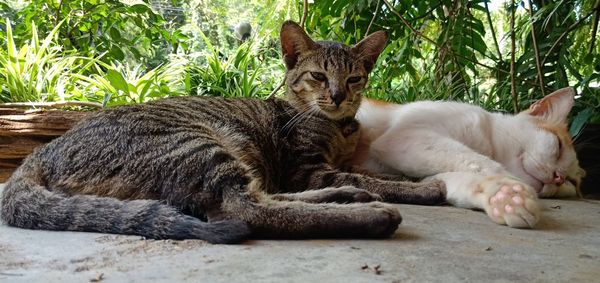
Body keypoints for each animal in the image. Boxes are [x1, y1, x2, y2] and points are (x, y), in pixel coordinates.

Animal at [0, 21, 446, 244]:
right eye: (319, 77)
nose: (337, 96)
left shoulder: (322, 165)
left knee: (262, 195)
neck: (338, 126)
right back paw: (367, 214)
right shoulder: (307, 168)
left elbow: (364, 172)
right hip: (196, 145)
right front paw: (423, 188)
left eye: (354, 79)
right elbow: (376, 178)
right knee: (247, 208)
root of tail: (41, 152)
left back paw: (344, 197)